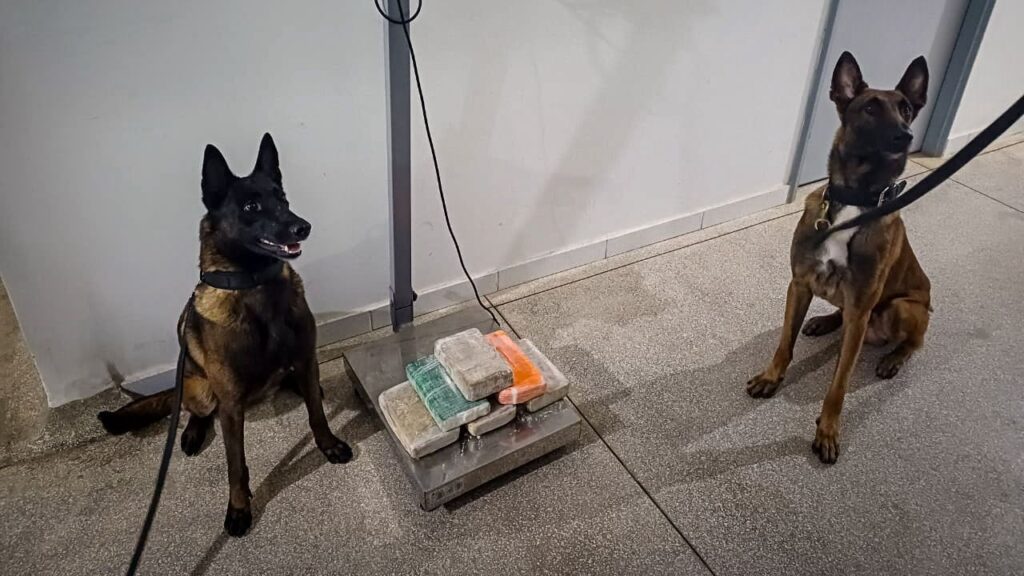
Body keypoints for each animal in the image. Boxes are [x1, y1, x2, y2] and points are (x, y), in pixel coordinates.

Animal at [98, 133, 351, 536]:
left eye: (283, 199)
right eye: (251, 206)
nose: (304, 227)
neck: (256, 288)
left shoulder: (305, 357)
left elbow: (317, 414)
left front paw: (328, 445)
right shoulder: (230, 403)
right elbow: (236, 464)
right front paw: (238, 507)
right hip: (201, 388)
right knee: (197, 409)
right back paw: (191, 432)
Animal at [747, 52, 932, 464]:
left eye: (906, 109)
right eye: (870, 108)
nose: (905, 136)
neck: (856, 202)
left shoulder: (862, 307)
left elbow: (839, 383)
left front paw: (828, 431)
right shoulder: (800, 284)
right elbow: (785, 343)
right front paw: (770, 377)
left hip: (903, 308)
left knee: (914, 341)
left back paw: (893, 358)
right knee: (840, 315)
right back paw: (824, 322)